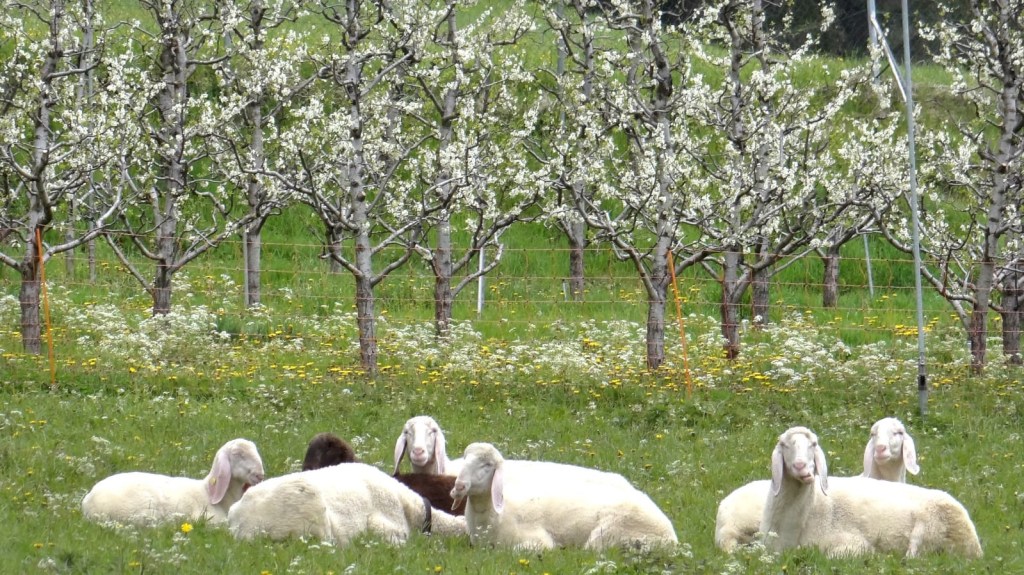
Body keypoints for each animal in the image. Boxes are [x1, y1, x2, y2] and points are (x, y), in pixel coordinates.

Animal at [449, 442, 677, 551]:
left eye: (487, 465)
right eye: (465, 458)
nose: (459, 486)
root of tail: (671, 535)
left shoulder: (537, 541)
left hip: (609, 533)